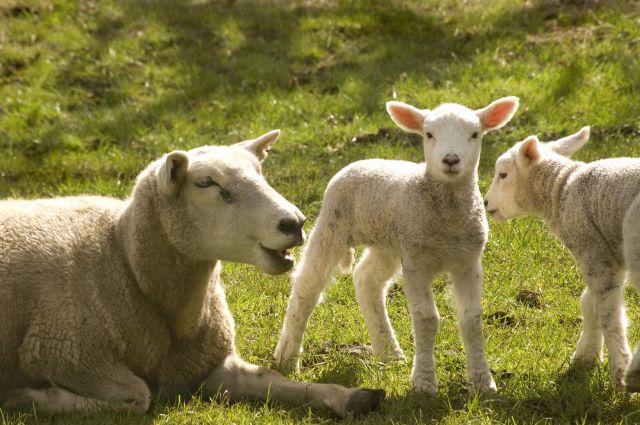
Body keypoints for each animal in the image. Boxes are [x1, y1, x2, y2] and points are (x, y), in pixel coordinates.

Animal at [0, 130, 385, 417]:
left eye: (260, 173)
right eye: (206, 183)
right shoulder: (63, 354)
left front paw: (347, 395)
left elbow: (271, 377)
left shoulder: (210, 364)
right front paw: (25, 397)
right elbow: (136, 396)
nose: (294, 223)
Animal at [274, 97, 520, 395]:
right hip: (333, 224)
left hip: (389, 244)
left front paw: (483, 382)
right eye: (429, 134)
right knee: (307, 285)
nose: (451, 159)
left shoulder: (468, 261)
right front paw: (423, 383)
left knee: (366, 279)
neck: (447, 220)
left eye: (475, 134)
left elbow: (471, 318)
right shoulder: (416, 261)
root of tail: (361, 162)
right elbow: (426, 318)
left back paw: (389, 351)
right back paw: (287, 357)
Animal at [483, 126, 640, 391]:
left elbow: (608, 313)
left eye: (503, 175)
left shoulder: (593, 249)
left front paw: (619, 371)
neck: (561, 187)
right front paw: (585, 356)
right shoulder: (611, 254)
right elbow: (588, 302)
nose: (485, 203)